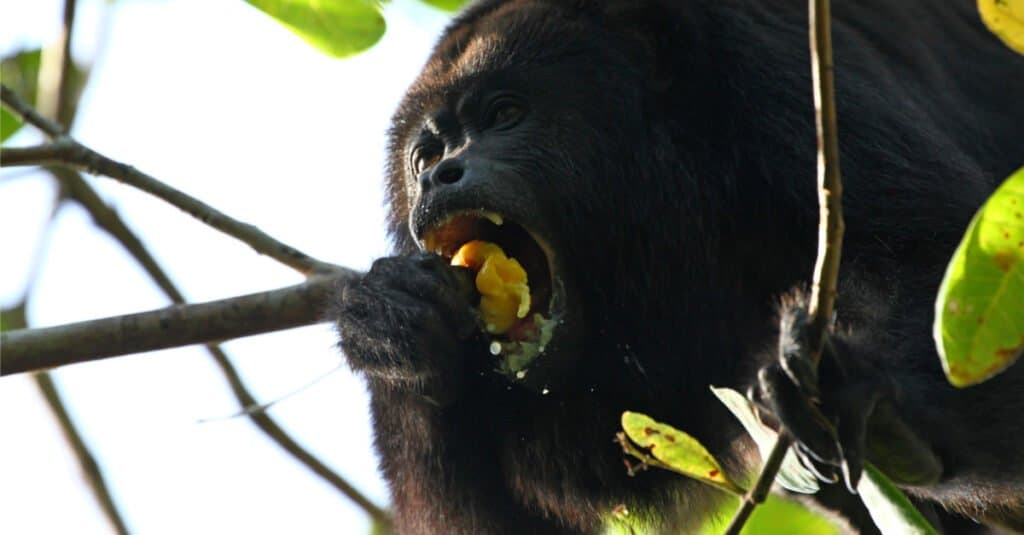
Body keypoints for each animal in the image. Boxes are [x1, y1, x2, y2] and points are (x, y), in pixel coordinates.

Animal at [333, 2, 1024, 528]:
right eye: (426, 154)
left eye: (504, 112)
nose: (438, 177)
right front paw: (397, 329)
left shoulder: (774, 65)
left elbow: (922, 248)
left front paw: (863, 392)